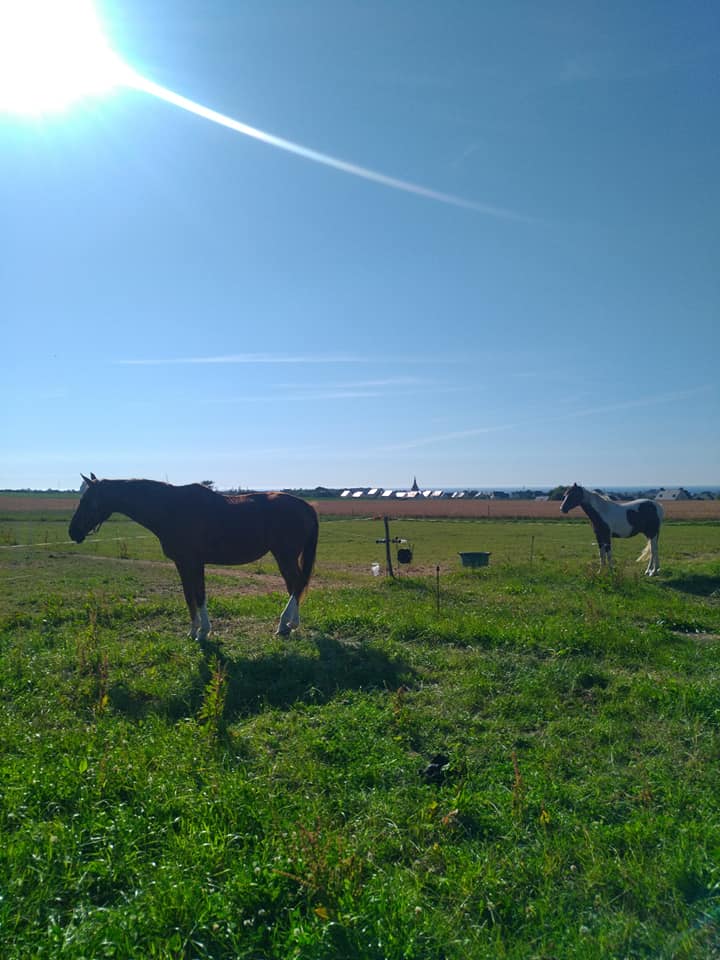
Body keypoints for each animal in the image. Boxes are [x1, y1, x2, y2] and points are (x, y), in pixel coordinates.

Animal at [69, 476, 318, 640]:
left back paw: (283, 624)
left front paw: (203, 632)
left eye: (87, 501)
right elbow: (189, 597)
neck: (171, 509)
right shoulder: (182, 564)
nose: (73, 532)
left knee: (297, 584)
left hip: (285, 555)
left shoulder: (194, 563)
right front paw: (192, 631)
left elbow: (199, 596)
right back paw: (290, 625)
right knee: (294, 586)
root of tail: (305, 506)